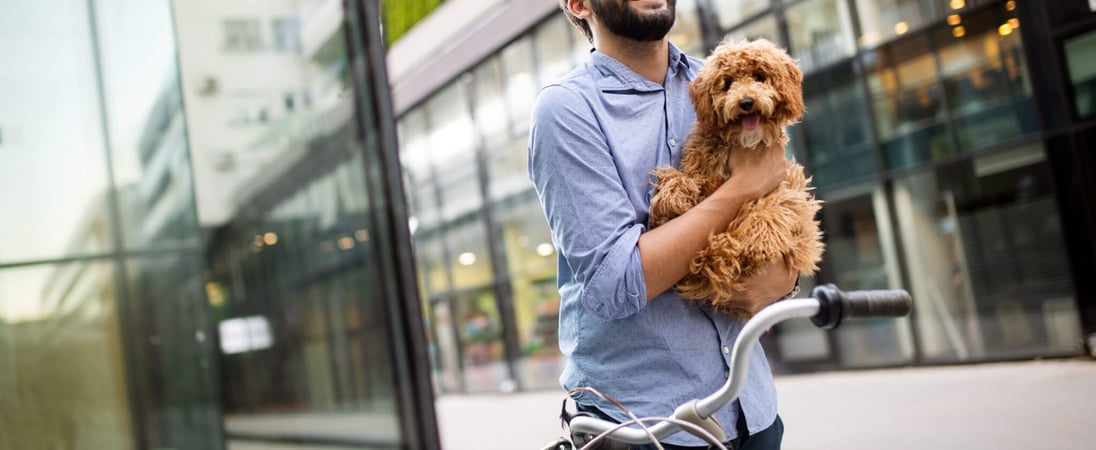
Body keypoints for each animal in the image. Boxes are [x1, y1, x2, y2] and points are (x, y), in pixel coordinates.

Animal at [648, 38, 824, 319]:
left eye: (760, 76)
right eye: (728, 82)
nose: (747, 102)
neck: (743, 141)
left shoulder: (789, 184)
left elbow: (776, 205)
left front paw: (759, 239)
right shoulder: (701, 165)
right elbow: (683, 178)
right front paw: (672, 197)